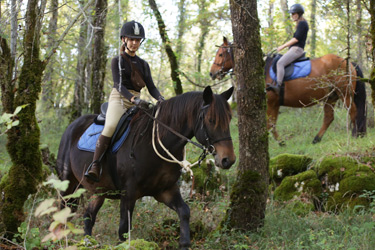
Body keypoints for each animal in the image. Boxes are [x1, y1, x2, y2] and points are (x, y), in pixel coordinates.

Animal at [55, 86, 235, 248]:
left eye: (230, 119)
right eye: (211, 120)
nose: (228, 160)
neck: (154, 143)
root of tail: (72, 126)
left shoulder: (166, 190)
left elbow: (184, 211)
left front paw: (184, 243)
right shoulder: (128, 194)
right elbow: (123, 230)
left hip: (99, 190)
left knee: (88, 216)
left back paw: (88, 242)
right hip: (68, 184)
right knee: (63, 212)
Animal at [212, 36, 368, 144]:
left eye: (220, 54)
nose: (212, 73)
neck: (264, 70)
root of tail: (349, 62)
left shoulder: (271, 103)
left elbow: (269, 124)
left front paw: (279, 143)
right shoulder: (275, 104)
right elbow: (272, 124)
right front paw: (280, 142)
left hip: (344, 94)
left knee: (353, 111)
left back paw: (354, 134)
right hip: (331, 97)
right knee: (329, 118)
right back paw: (316, 139)